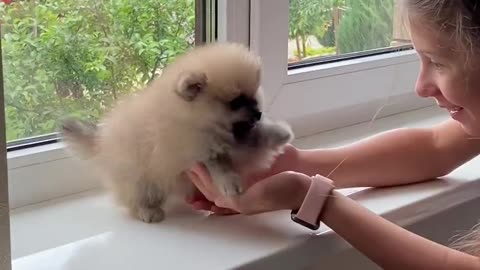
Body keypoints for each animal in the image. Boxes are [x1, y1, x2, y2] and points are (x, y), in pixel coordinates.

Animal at [60, 42, 292, 224]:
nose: (258, 113)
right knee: (136, 199)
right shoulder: (199, 149)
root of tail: (101, 142)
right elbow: (220, 165)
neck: (197, 119)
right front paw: (230, 183)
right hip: (142, 179)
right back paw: (148, 211)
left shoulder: (237, 138)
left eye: (253, 96)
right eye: (235, 102)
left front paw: (280, 132)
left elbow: (256, 136)